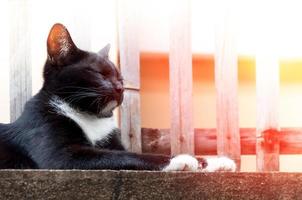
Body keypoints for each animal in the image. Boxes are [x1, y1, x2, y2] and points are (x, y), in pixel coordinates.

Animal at [0, 23, 235, 170]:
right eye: (99, 73)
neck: (89, 116)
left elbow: (120, 151)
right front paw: (179, 159)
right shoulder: (58, 150)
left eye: (120, 77)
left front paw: (215, 162)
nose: (121, 87)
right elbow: (126, 155)